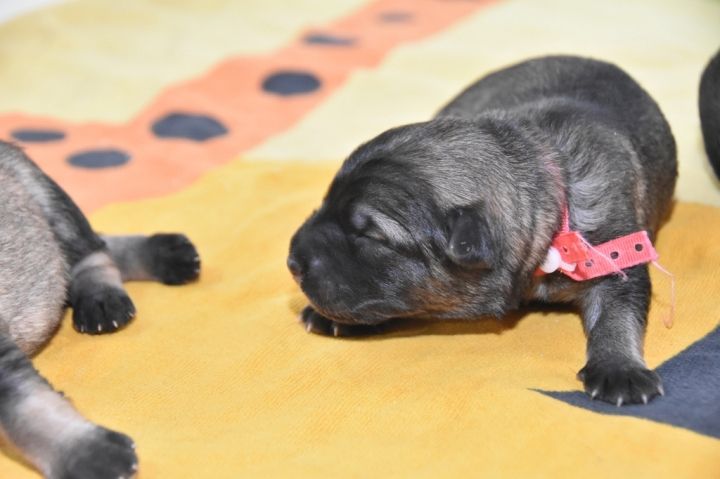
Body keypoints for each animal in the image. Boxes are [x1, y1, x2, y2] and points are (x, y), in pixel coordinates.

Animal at [288, 55, 679, 407]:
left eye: (369, 236)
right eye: (326, 202)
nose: (293, 261)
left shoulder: (616, 252)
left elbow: (617, 312)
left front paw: (619, 368)